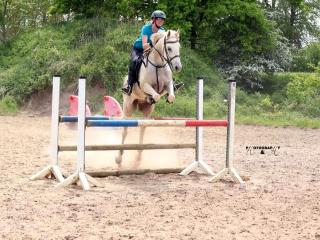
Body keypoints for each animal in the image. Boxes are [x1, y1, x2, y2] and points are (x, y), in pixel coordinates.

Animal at [116, 29, 182, 167]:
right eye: (169, 48)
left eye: (179, 47)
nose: (178, 67)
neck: (158, 64)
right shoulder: (145, 86)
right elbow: (155, 94)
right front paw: (152, 98)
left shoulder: (167, 85)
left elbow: (171, 95)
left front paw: (167, 99)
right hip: (128, 107)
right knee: (125, 129)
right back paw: (119, 158)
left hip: (147, 111)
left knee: (143, 128)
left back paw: (138, 158)